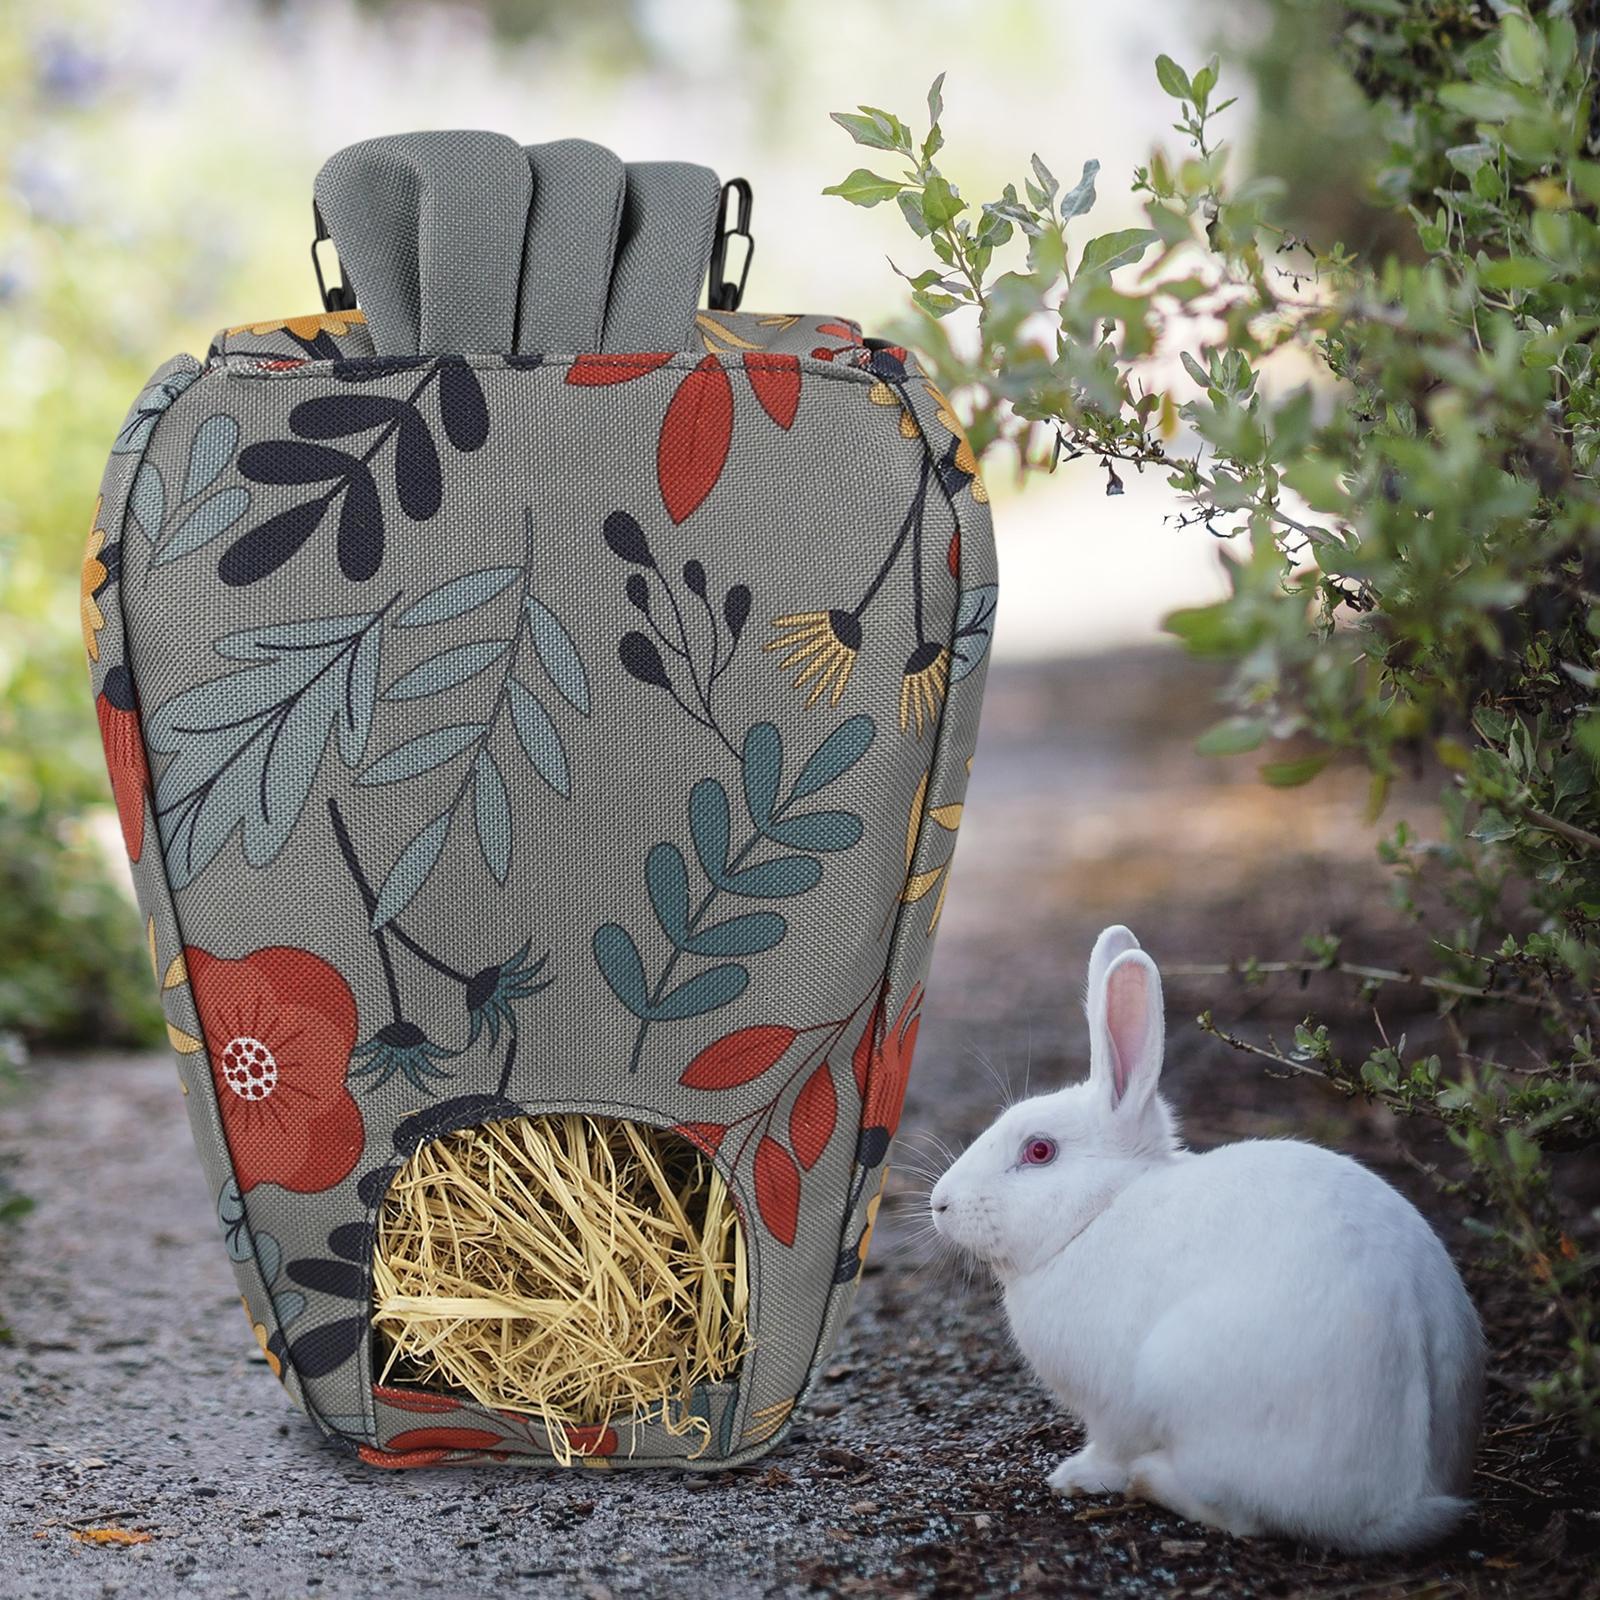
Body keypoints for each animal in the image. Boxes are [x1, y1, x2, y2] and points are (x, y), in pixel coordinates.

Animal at [930, 924, 1485, 1554]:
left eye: (1039, 1151)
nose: (940, 1203)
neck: (1102, 1209)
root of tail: (1399, 1506)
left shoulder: (1112, 1408)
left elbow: (1108, 1448)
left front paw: (1073, 1477)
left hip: (1185, 1382)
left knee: (1243, 1516)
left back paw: (1151, 1480)